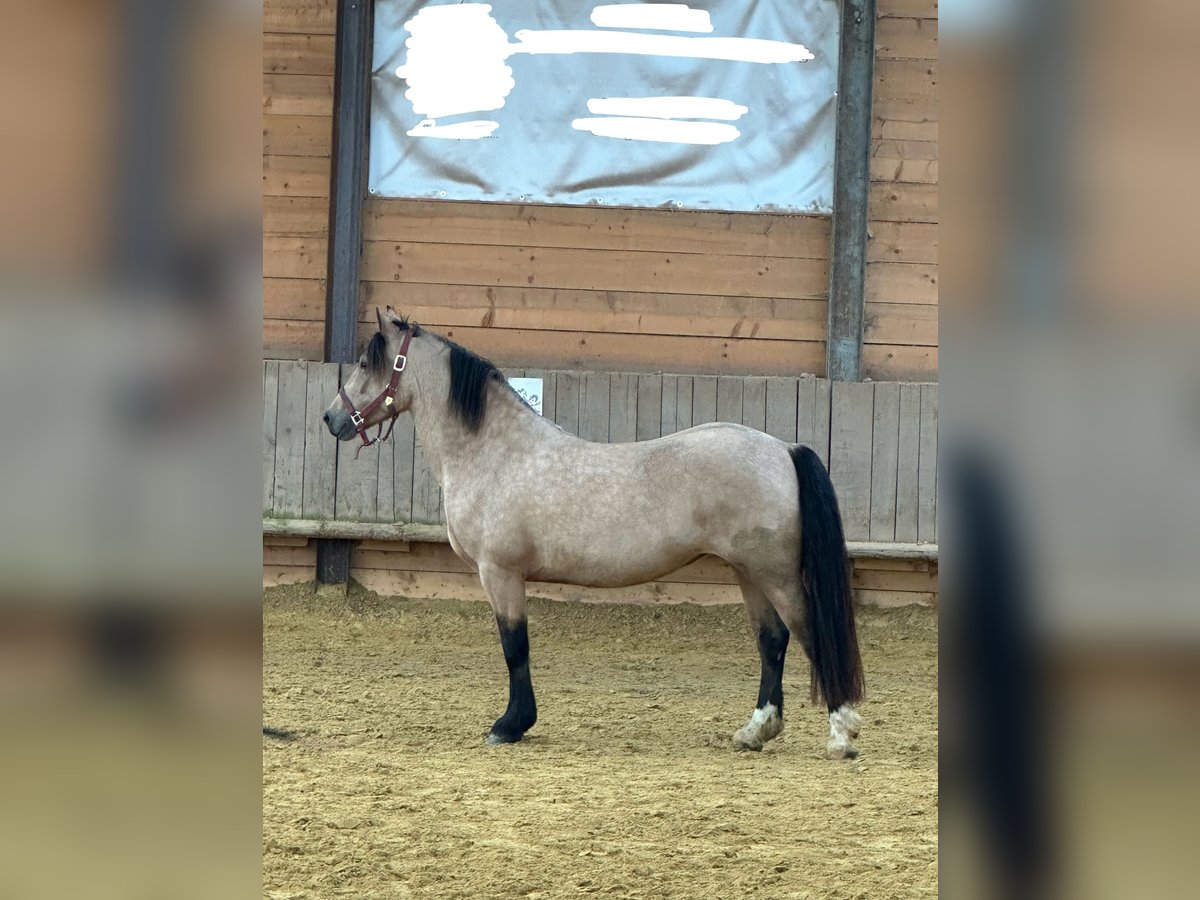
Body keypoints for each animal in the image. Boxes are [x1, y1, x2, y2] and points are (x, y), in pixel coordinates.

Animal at [319, 309, 864, 763]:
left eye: (368, 363)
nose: (330, 417)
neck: (495, 453)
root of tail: (783, 448)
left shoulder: (500, 573)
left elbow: (515, 647)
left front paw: (510, 725)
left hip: (775, 574)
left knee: (809, 634)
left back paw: (841, 735)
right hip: (748, 571)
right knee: (772, 642)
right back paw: (756, 732)